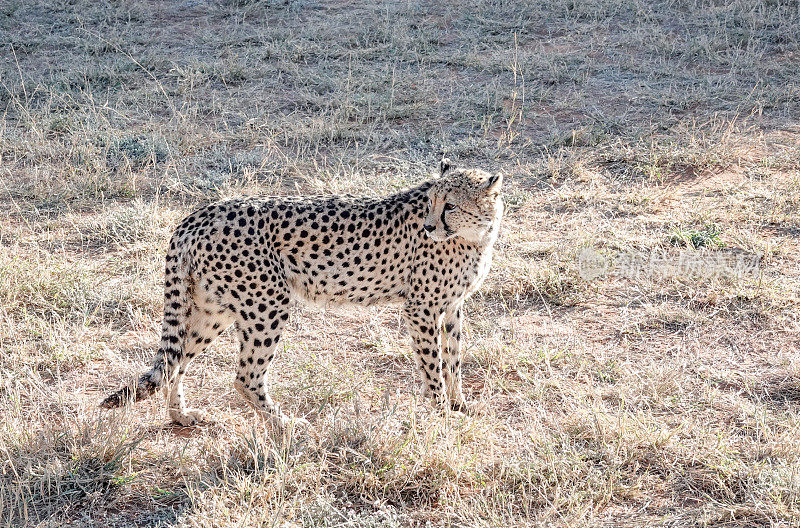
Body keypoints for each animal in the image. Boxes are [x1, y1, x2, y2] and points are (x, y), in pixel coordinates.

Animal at [100, 160, 500, 428]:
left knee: (176, 361)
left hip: (212, 308)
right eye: (432, 201)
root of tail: (200, 213)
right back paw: (286, 425)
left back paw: (181, 416)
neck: (473, 235)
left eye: (450, 204)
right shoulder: (421, 308)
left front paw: (460, 405)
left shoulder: (453, 306)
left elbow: (454, 359)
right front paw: (442, 412)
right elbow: (434, 366)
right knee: (245, 376)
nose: (430, 227)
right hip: (266, 303)